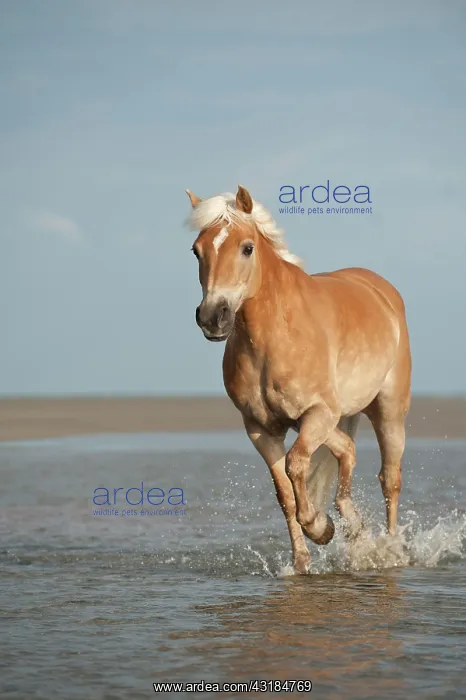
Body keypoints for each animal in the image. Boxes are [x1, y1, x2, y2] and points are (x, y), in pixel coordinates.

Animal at [186, 185, 411, 574]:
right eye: (196, 250)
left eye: (247, 247)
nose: (214, 317)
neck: (276, 335)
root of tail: (381, 291)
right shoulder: (262, 429)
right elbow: (285, 495)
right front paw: (303, 561)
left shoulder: (317, 413)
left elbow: (296, 466)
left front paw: (320, 528)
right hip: (331, 420)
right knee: (347, 451)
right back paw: (353, 526)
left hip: (387, 413)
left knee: (390, 480)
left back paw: (390, 549)